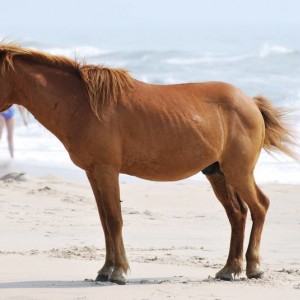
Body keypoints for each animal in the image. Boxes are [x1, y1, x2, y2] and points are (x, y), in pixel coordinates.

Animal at [0, 42, 296, 284]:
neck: (82, 105)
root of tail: (250, 103)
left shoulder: (107, 171)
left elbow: (114, 219)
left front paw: (118, 272)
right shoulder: (93, 174)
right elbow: (105, 221)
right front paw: (105, 270)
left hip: (238, 172)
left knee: (259, 207)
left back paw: (254, 267)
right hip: (217, 173)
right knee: (238, 214)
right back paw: (230, 269)